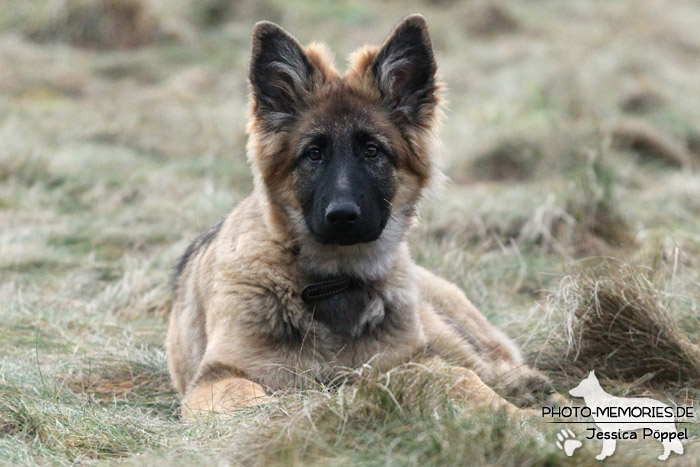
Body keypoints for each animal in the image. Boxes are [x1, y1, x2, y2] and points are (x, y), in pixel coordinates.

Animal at [165, 14, 552, 418]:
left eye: (371, 151)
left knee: (487, 367)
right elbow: (248, 398)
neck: (334, 280)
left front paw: (518, 419)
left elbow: (460, 379)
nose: (342, 216)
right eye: (314, 154)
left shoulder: (411, 359)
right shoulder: (217, 377)